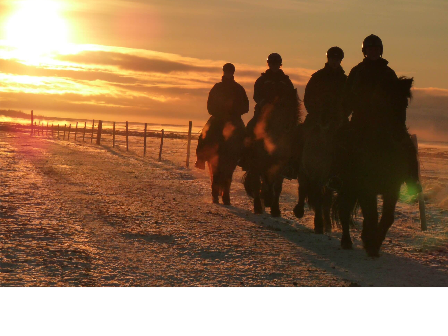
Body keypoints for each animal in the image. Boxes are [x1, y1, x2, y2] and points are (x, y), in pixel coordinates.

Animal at [242, 86, 300, 217]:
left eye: (294, 108)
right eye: (280, 106)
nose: (288, 126)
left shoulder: (280, 166)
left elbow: (277, 187)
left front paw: (275, 209)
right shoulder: (257, 164)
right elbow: (257, 183)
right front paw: (259, 206)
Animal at [334, 77, 414, 258]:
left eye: (405, 103)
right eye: (384, 102)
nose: (399, 137)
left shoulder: (392, 189)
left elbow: (387, 217)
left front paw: (375, 244)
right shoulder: (366, 188)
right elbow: (371, 215)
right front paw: (371, 245)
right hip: (349, 186)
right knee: (344, 209)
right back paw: (347, 241)